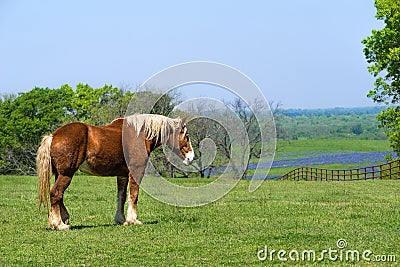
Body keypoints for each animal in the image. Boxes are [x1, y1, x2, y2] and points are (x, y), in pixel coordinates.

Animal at [36, 114, 195, 231]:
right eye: (186, 136)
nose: (191, 157)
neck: (141, 134)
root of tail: (53, 136)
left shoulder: (122, 175)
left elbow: (121, 197)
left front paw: (121, 220)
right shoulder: (136, 171)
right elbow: (134, 195)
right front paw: (133, 220)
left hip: (60, 174)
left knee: (59, 196)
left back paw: (63, 220)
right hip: (66, 174)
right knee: (56, 194)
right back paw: (58, 224)